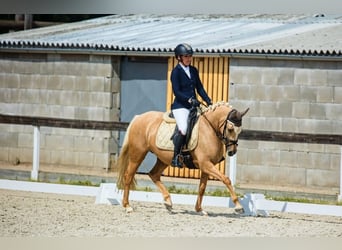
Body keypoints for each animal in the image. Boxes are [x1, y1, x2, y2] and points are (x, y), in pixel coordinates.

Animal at [117, 101, 248, 215]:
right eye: (230, 129)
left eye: (240, 131)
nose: (232, 152)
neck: (209, 128)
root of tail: (138, 117)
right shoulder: (206, 164)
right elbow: (226, 179)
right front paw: (238, 206)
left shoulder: (206, 166)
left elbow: (202, 187)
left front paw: (199, 210)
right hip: (138, 154)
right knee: (128, 176)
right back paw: (127, 206)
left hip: (164, 159)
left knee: (153, 174)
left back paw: (168, 202)